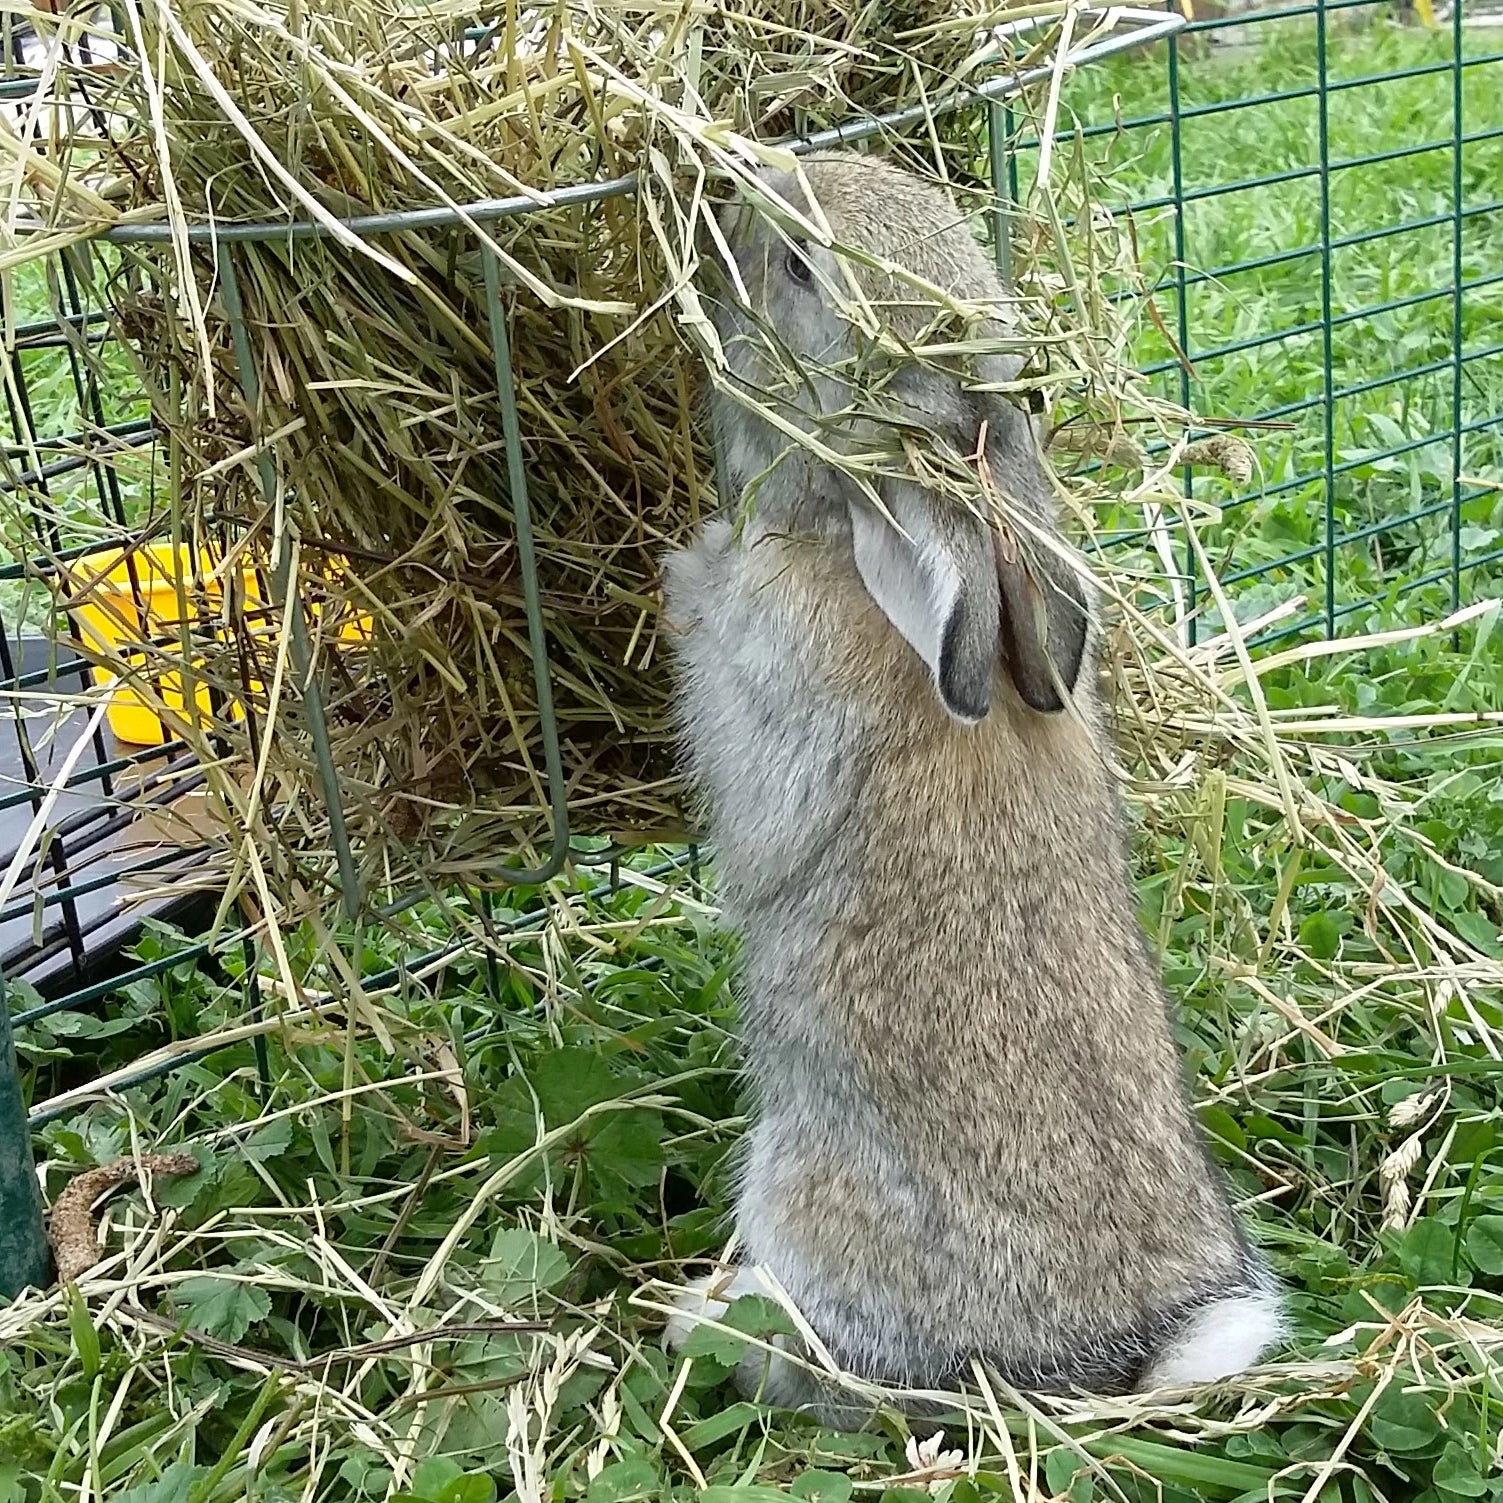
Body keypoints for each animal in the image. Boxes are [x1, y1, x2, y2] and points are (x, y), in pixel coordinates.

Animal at [658, 146, 1280, 1424]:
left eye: (801, 267)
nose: (741, 183)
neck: (842, 529)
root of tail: (1121, 1347)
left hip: (804, 1213)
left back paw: (690, 1315)